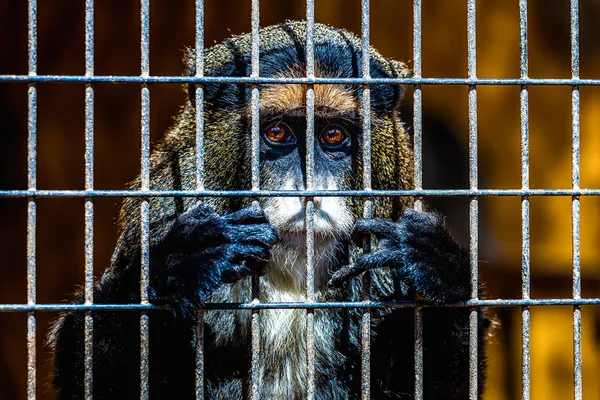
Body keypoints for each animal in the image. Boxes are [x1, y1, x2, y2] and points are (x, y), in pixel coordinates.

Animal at [47, 21, 490, 400]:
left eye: (333, 135)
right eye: (278, 132)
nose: (309, 193)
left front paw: (436, 265)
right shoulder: (162, 210)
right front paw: (180, 263)